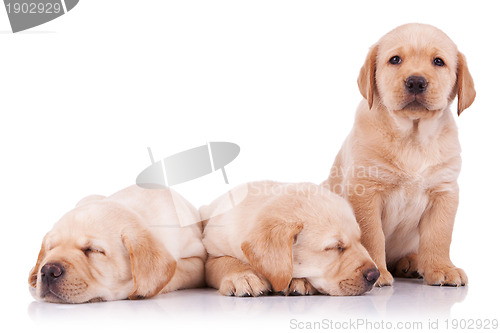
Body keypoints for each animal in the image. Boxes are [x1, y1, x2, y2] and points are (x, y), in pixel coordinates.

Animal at [199, 182, 378, 296]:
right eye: (335, 247)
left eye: (360, 240)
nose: (375, 275)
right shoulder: (211, 252)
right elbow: (224, 262)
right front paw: (244, 276)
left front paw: (299, 281)